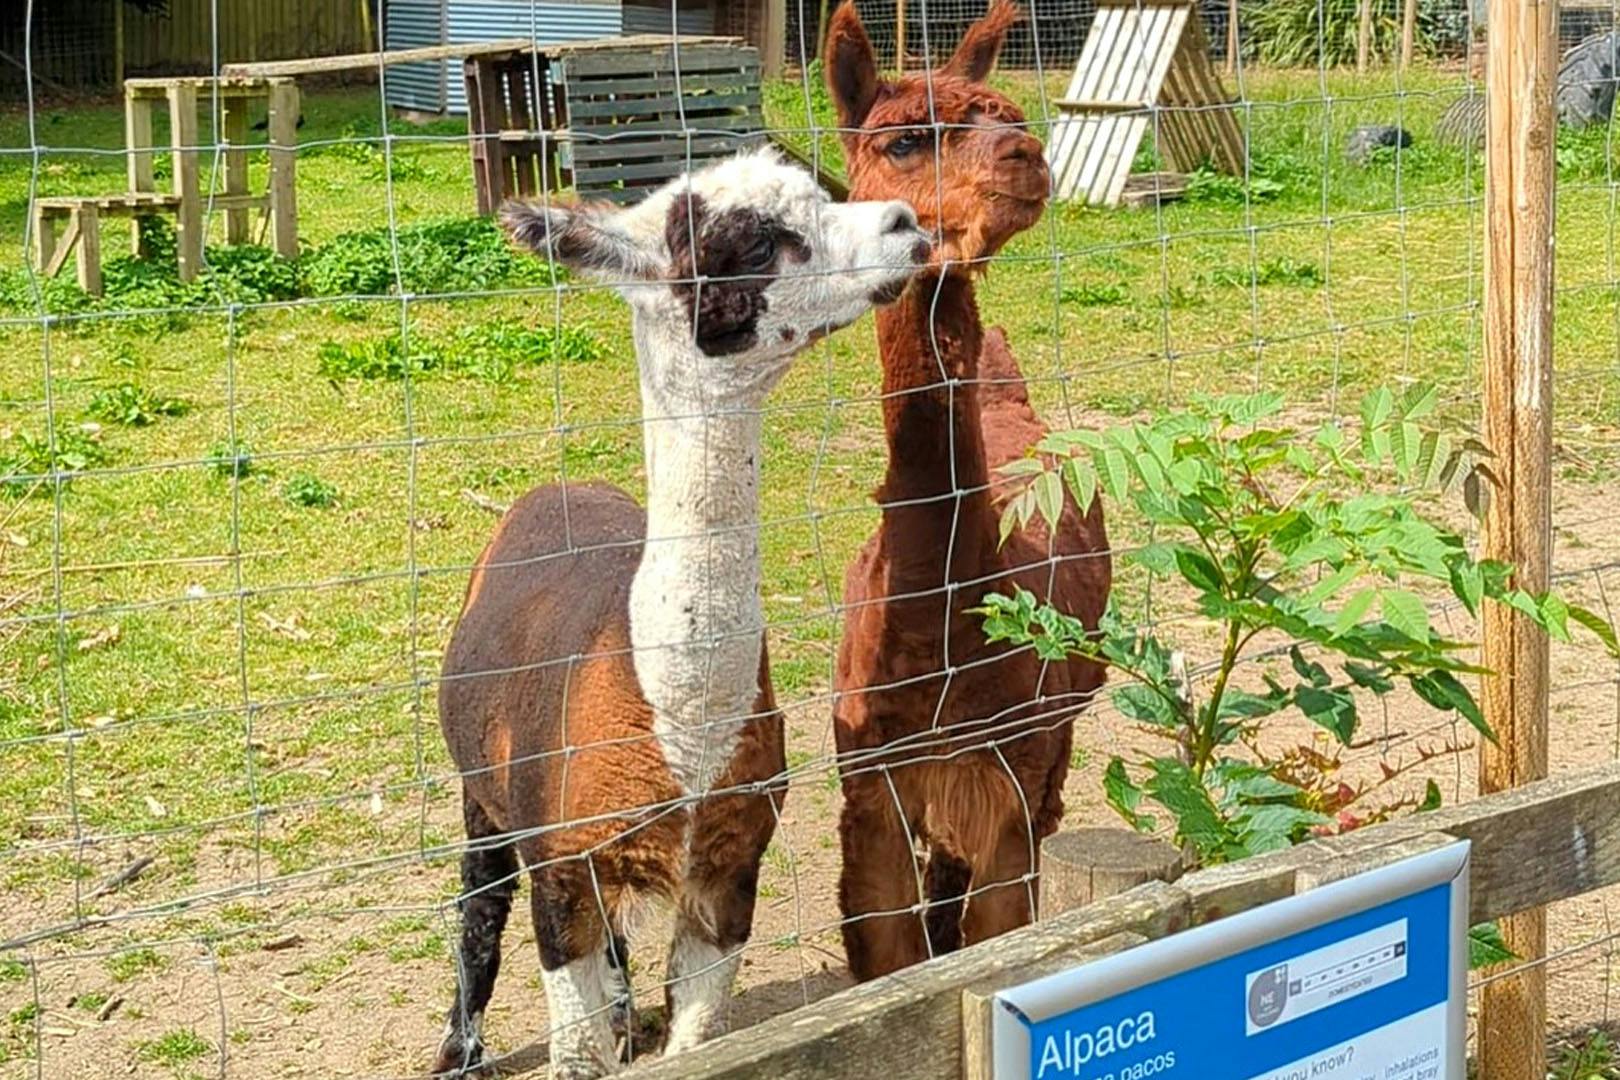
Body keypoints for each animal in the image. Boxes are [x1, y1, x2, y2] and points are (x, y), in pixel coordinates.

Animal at [433, 149, 930, 1076]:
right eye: (757, 242)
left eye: (823, 192)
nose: (908, 224)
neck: (680, 721)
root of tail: (562, 487)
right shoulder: (560, 863)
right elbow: (573, 1047)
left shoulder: (727, 867)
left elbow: (694, 1036)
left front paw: (645, 1029)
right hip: (483, 788)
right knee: (481, 904)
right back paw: (461, 1047)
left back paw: (627, 1014)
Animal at [824, 1, 1113, 981]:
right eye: (905, 138)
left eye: (1012, 115)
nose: (1026, 156)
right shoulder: (870, 778)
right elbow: (892, 954)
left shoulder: (1008, 771)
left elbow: (995, 939)